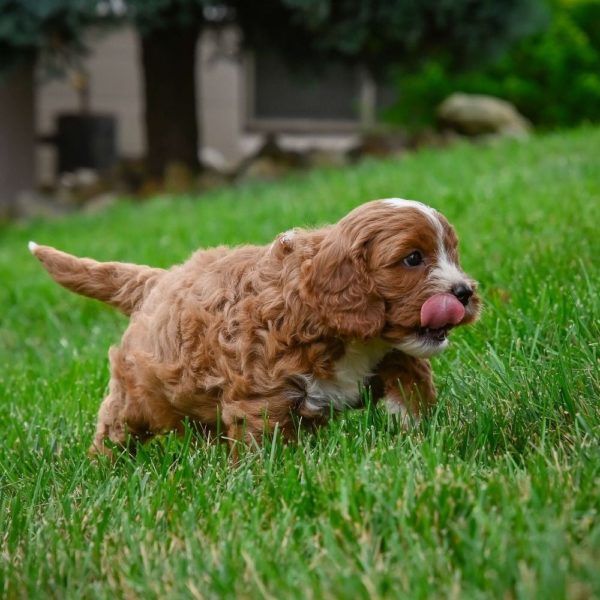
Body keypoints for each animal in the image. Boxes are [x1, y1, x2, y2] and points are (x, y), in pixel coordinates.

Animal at [30, 197, 480, 454]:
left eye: (453, 253)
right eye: (413, 259)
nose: (463, 293)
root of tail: (156, 280)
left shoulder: (391, 355)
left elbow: (414, 386)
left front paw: (424, 434)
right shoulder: (262, 390)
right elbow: (263, 439)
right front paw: (269, 476)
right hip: (137, 393)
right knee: (115, 423)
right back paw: (105, 463)